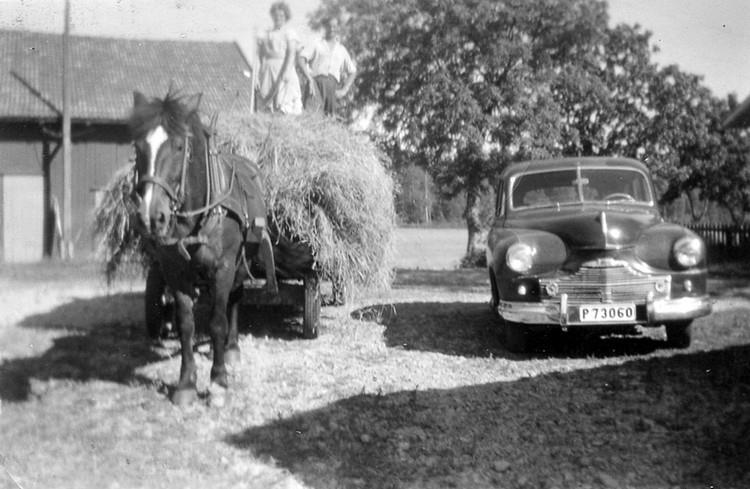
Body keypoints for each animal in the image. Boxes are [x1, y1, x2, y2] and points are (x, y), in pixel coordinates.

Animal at [131, 89, 278, 406]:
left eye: (178, 146)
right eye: (138, 147)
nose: (151, 216)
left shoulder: (223, 267)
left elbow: (217, 321)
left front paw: (218, 380)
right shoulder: (175, 272)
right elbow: (186, 324)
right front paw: (186, 384)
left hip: (240, 263)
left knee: (234, 299)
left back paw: (230, 349)